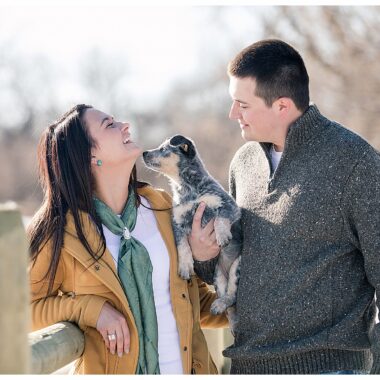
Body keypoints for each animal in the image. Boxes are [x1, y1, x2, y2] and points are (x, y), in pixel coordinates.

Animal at [141, 135, 242, 332]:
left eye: (163, 149)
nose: (143, 152)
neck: (187, 189)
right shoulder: (177, 221)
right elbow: (183, 246)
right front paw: (185, 266)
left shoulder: (228, 205)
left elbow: (220, 218)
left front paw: (222, 235)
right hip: (218, 277)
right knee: (230, 301)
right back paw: (221, 309)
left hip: (237, 266)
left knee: (233, 295)